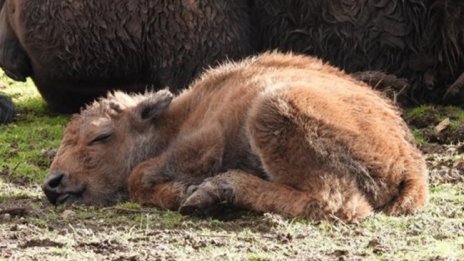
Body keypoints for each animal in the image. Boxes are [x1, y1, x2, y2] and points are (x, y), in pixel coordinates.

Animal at [43, 52, 428, 221]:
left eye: (100, 137)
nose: (52, 183)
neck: (175, 120)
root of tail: (410, 165)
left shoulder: (206, 139)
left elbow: (141, 175)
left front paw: (186, 191)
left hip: (273, 109)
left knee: (335, 202)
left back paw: (217, 190)